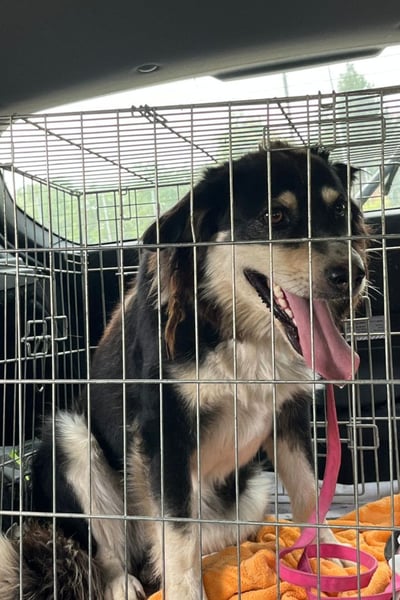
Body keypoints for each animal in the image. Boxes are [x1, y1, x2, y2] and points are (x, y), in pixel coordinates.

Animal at [0, 142, 368, 600]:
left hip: (251, 492)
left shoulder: (288, 415)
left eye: (339, 210)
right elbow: (177, 534)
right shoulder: (166, 434)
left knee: (206, 541)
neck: (233, 330)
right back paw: (122, 583)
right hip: (69, 438)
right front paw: (185, 591)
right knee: (110, 550)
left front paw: (330, 558)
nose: (354, 274)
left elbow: (308, 495)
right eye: (274, 217)